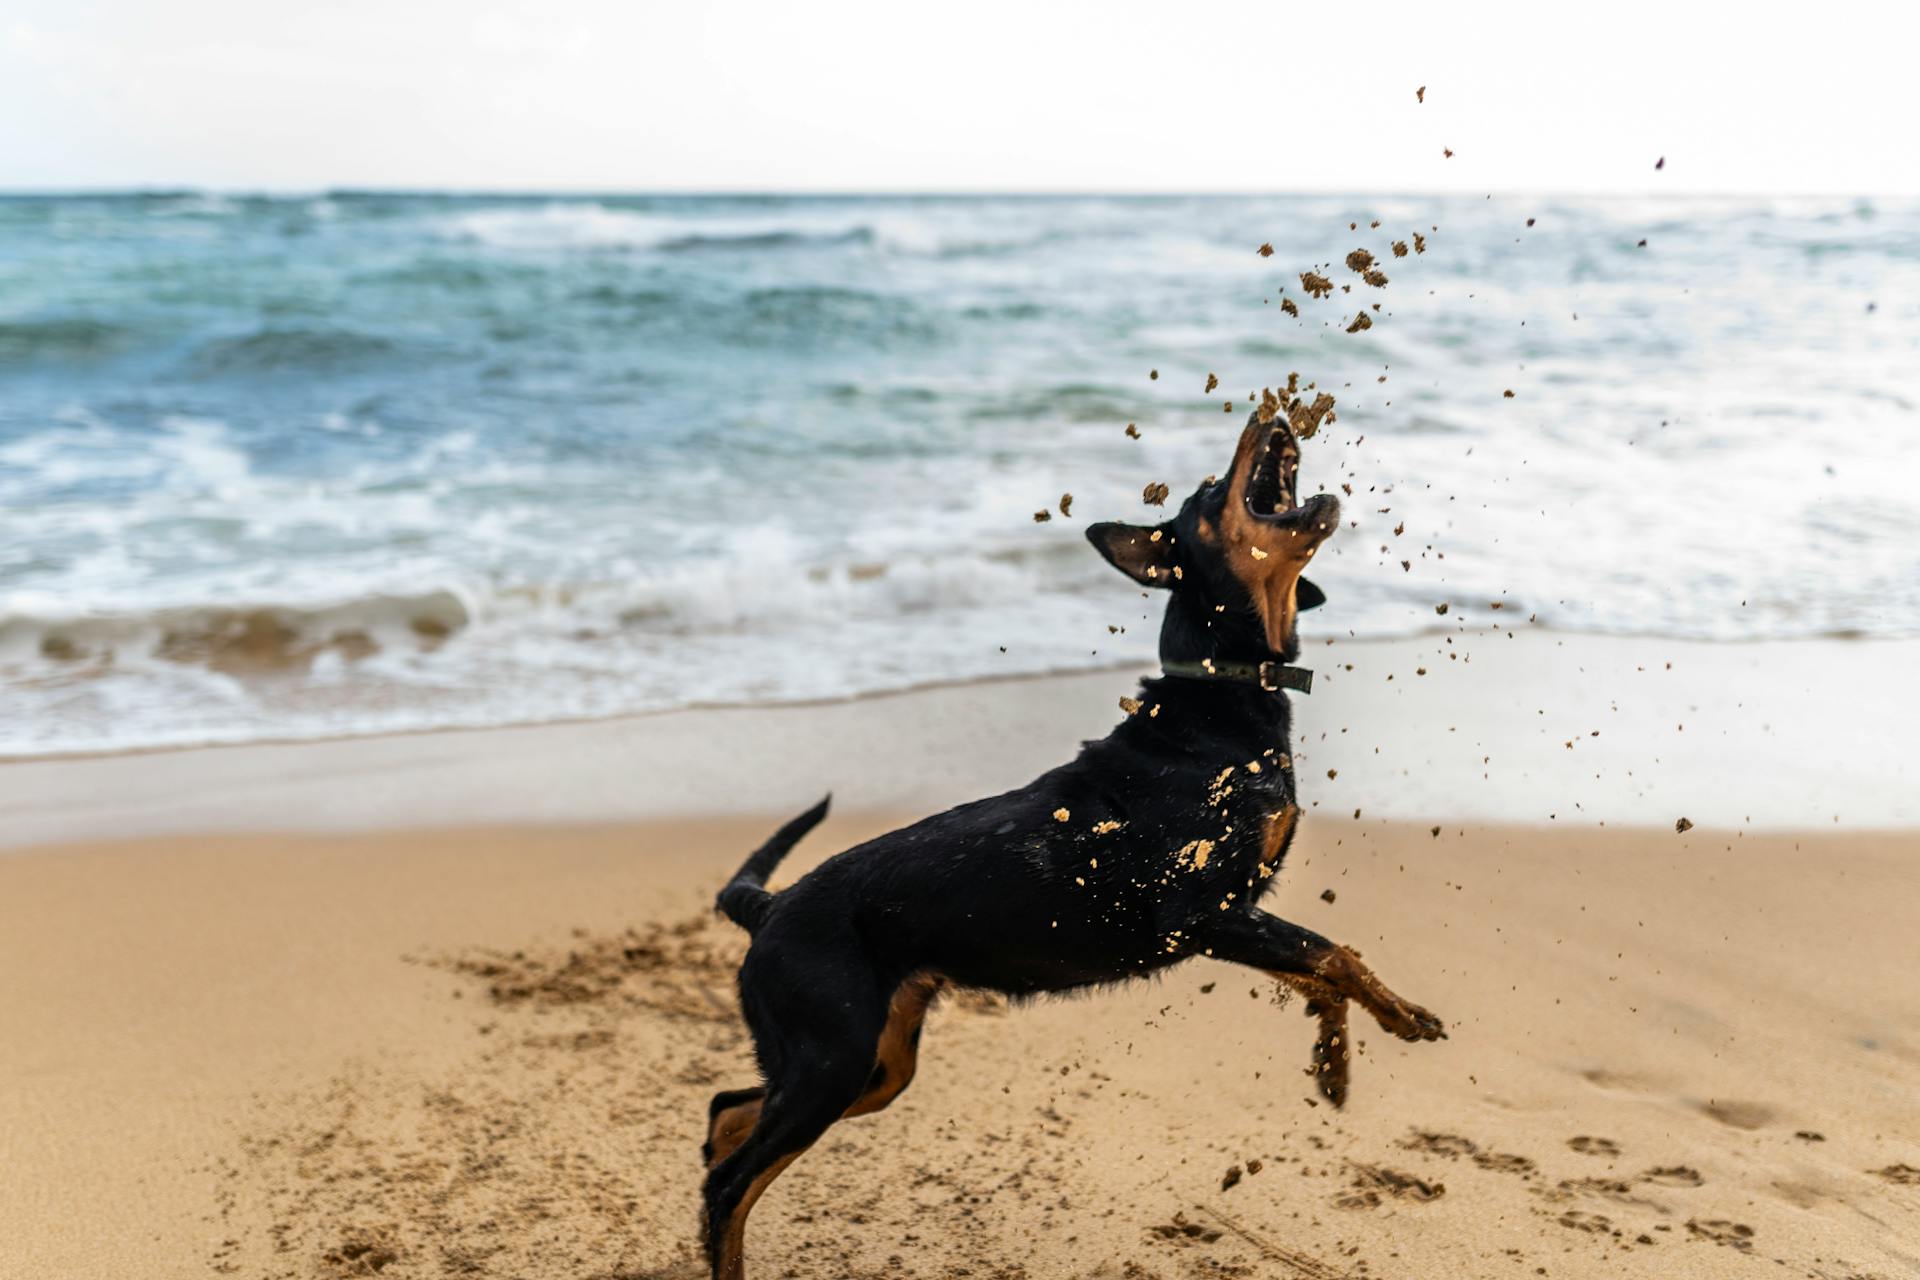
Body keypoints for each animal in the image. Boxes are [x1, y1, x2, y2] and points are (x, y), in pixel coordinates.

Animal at [702, 401, 1443, 1280]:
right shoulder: (1204, 914)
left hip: (873, 1063)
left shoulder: (1236, 916)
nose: (1270, 416)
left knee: (725, 1118)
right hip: (834, 1058)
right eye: (1208, 492)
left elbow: (1320, 972)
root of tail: (768, 909)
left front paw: (1334, 1068)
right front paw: (1404, 1019)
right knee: (730, 1182)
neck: (1219, 697)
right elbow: (1335, 955)